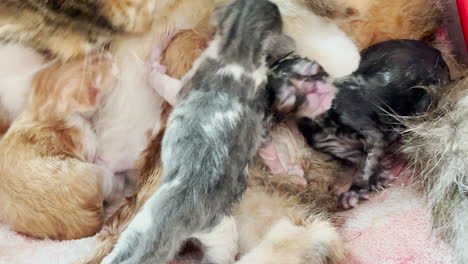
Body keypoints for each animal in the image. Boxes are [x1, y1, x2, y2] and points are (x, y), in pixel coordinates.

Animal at [101, 0, 294, 264]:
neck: (240, 53)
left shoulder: (191, 81)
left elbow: (161, 82)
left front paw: (156, 55)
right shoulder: (259, 115)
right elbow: (266, 142)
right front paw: (281, 166)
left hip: (142, 224)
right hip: (222, 230)